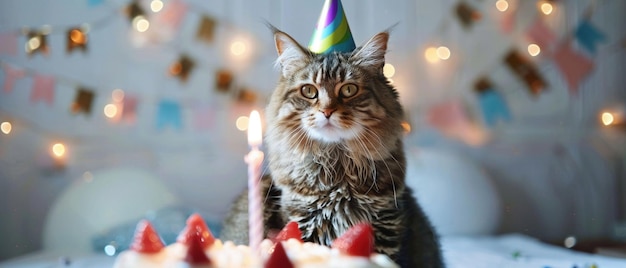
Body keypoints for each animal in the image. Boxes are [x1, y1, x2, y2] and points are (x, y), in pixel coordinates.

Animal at [219, 28, 444, 266]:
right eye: (309, 91)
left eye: (349, 89)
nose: (327, 111)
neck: (337, 170)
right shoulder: (303, 223)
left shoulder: (385, 226)